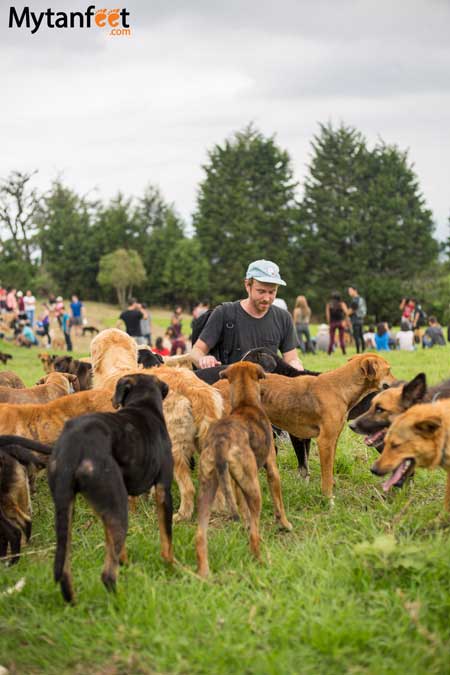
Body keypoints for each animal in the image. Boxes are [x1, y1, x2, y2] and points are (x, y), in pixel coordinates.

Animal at [197, 362, 292, 580]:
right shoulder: (272, 469)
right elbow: (279, 503)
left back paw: (204, 573)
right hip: (255, 490)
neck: (246, 404)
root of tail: (221, 442)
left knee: (200, 535)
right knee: (254, 536)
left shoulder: (235, 483)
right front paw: (284, 524)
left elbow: (242, 507)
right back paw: (261, 563)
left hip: (208, 489)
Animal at [214, 354, 394, 502]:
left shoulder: (332, 440)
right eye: (389, 370)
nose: (398, 384)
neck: (340, 386)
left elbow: (327, 471)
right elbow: (325, 476)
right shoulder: (324, 441)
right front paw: (328, 500)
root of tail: (215, 386)